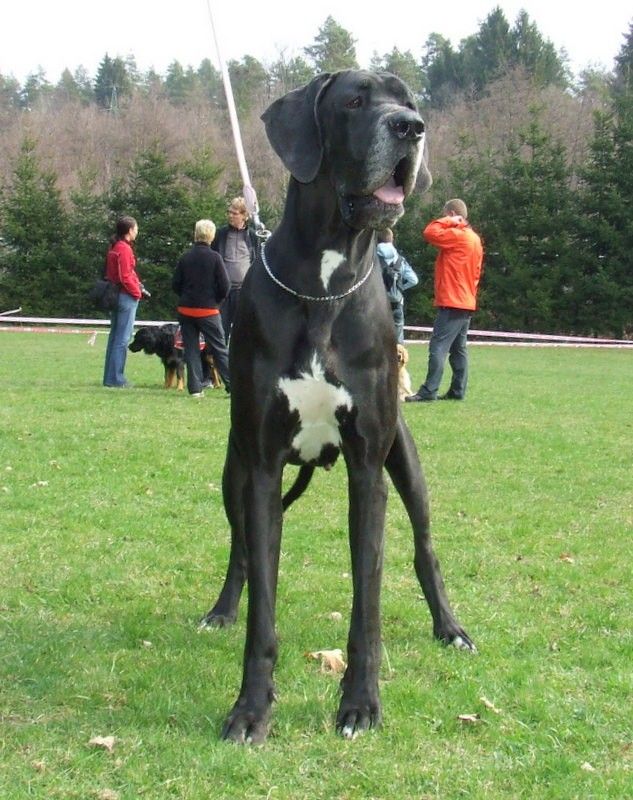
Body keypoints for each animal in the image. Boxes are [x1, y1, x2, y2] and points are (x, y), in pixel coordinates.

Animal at [201, 70, 474, 743]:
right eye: (353, 101)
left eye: (408, 100)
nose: (411, 127)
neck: (324, 282)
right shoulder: (261, 467)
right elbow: (262, 605)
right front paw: (251, 709)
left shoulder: (367, 470)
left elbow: (366, 603)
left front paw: (360, 703)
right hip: (232, 472)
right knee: (239, 547)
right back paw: (221, 609)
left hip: (405, 460)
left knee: (425, 546)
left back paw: (449, 627)